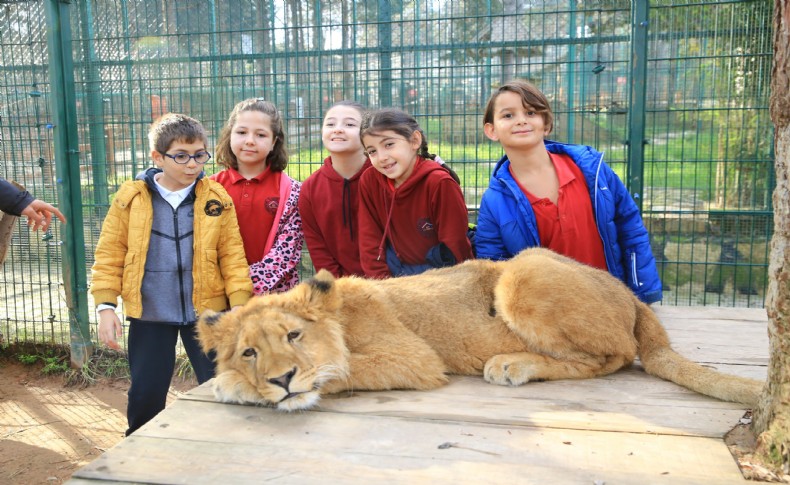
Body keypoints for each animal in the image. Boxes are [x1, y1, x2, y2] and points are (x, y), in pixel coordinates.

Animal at [195, 248, 764, 410]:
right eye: (248, 352)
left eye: (294, 336)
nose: (281, 380)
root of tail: (631, 295)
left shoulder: (415, 358)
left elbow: (342, 369)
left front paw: (235, 388)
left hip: (522, 273)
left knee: (613, 357)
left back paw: (512, 364)